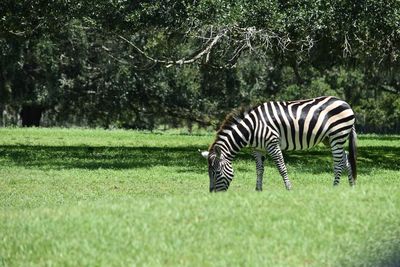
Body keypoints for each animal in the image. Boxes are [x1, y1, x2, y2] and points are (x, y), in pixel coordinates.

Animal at [202, 96, 358, 193]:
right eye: (209, 173)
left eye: (216, 172)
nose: (213, 194)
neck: (252, 127)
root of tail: (345, 103)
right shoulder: (257, 149)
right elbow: (259, 169)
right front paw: (258, 189)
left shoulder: (272, 143)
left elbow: (281, 167)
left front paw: (289, 188)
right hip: (329, 139)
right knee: (345, 158)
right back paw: (351, 186)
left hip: (337, 135)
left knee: (339, 162)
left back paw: (335, 187)